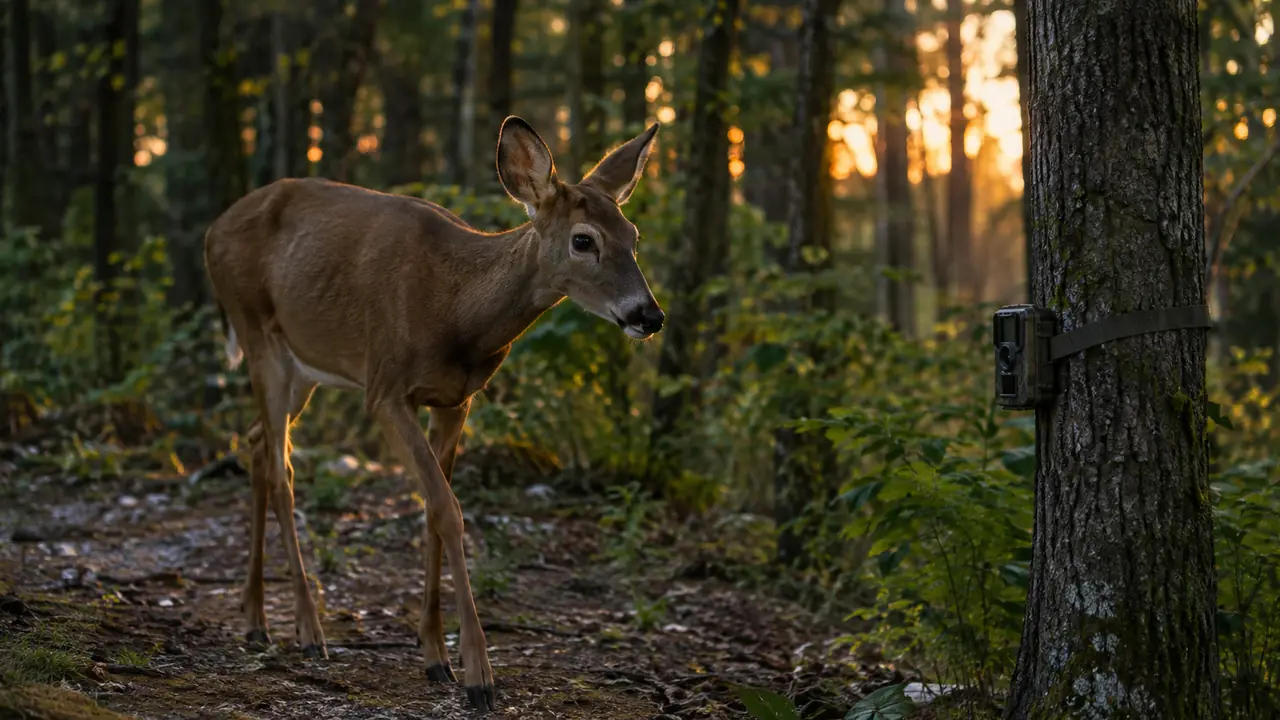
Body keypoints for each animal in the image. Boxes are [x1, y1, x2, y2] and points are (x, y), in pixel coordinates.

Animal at [203, 116, 665, 711]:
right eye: (584, 239)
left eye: (633, 235)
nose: (648, 315)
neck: (457, 313)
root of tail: (212, 230)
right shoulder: (385, 388)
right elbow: (448, 509)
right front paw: (478, 674)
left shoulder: (455, 399)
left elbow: (430, 511)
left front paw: (434, 656)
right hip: (257, 332)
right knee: (282, 470)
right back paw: (308, 630)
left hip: (303, 365)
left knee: (258, 442)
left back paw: (257, 619)